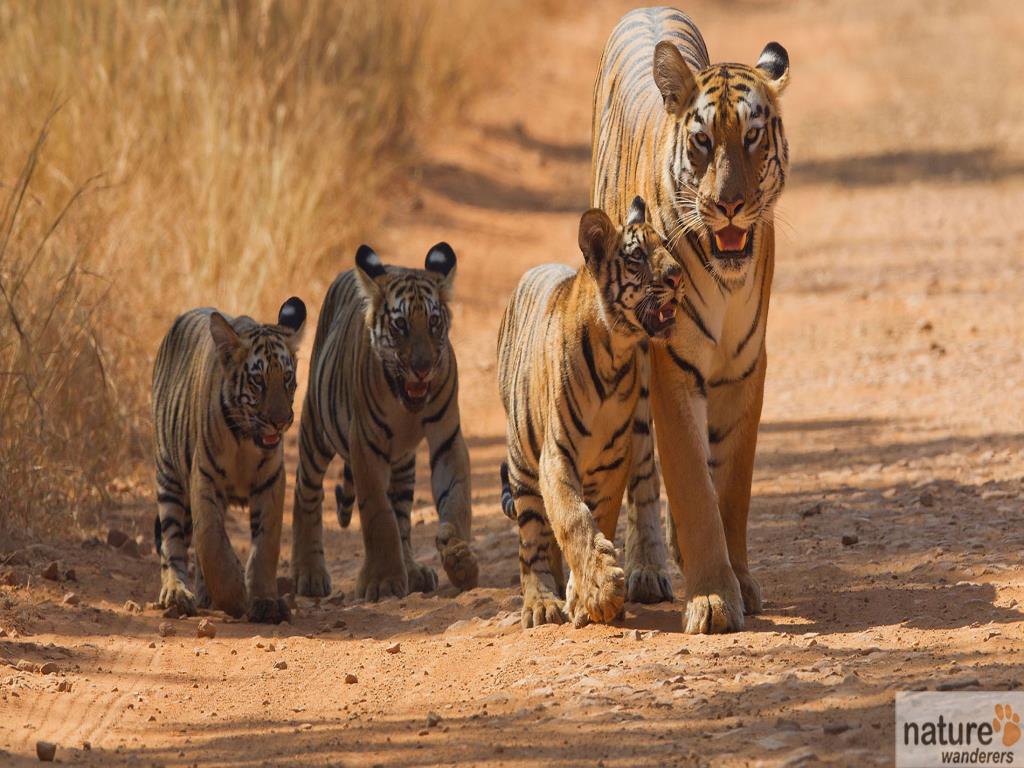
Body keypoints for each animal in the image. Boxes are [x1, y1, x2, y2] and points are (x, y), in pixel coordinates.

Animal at [151, 299, 303, 626]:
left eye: (287, 378)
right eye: (258, 381)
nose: (281, 421)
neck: (247, 441)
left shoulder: (272, 482)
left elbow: (265, 547)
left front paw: (264, 602)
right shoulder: (204, 478)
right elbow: (211, 541)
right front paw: (234, 597)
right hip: (169, 477)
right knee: (172, 543)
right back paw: (177, 593)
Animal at [290, 243, 477, 606]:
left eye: (434, 321)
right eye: (400, 324)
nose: (423, 367)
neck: (407, 406)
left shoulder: (447, 436)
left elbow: (455, 498)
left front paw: (460, 558)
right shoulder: (365, 444)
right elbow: (379, 515)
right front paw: (383, 581)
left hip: (403, 462)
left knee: (402, 513)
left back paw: (415, 571)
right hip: (315, 430)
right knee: (306, 493)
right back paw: (309, 575)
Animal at [589, 6, 786, 634]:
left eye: (751, 136)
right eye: (702, 142)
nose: (728, 205)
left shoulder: (745, 368)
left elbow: (730, 489)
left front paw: (739, 582)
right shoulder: (672, 365)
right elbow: (694, 491)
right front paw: (714, 599)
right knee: (643, 471)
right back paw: (650, 568)